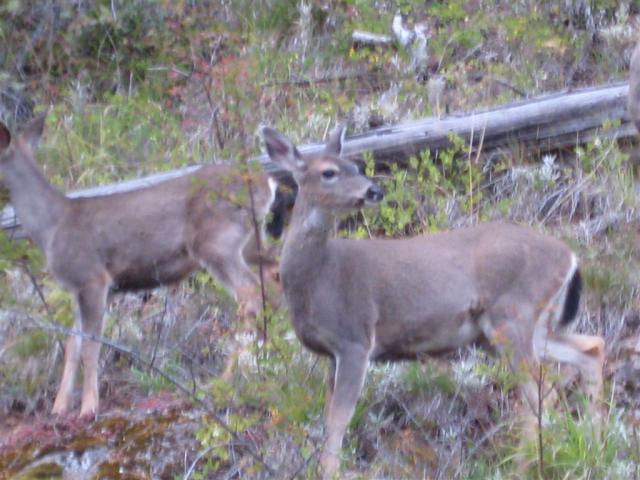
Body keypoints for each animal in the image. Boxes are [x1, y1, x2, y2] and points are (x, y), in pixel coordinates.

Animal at [0, 114, 286, 419]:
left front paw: (88, 408)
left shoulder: (93, 277)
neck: (51, 227)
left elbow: (90, 345)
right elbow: (72, 345)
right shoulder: (82, 288)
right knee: (274, 279)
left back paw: (227, 380)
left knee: (251, 294)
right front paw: (59, 407)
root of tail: (265, 181)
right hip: (250, 243)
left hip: (217, 242)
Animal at [261, 125, 605, 478]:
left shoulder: (355, 339)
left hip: (512, 314)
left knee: (540, 389)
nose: (374, 190)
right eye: (329, 172)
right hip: (521, 327)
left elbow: (338, 420)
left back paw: (524, 467)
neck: (319, 279)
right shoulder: (333, 354)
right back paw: (593, 447)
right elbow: (330, 414)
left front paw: (329, 471)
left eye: (355, 167)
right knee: (591, 348)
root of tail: (570, 256)